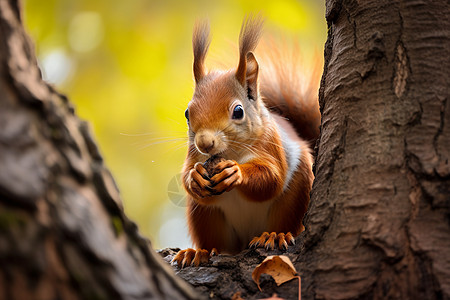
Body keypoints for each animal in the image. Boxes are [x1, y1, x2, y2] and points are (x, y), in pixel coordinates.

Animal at [172, 15, 320, 268]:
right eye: (187, 113)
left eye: (238, 111)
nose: (204, 143)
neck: (231, 152)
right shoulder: (194, 154)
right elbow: (186, 175)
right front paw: (194, 177)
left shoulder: (271, 145)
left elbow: (271, 177)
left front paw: (236, 172)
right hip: (205, 215)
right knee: (216, 243)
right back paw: (198, 252)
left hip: (294, 196)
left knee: (284, 221)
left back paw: (274, 235)